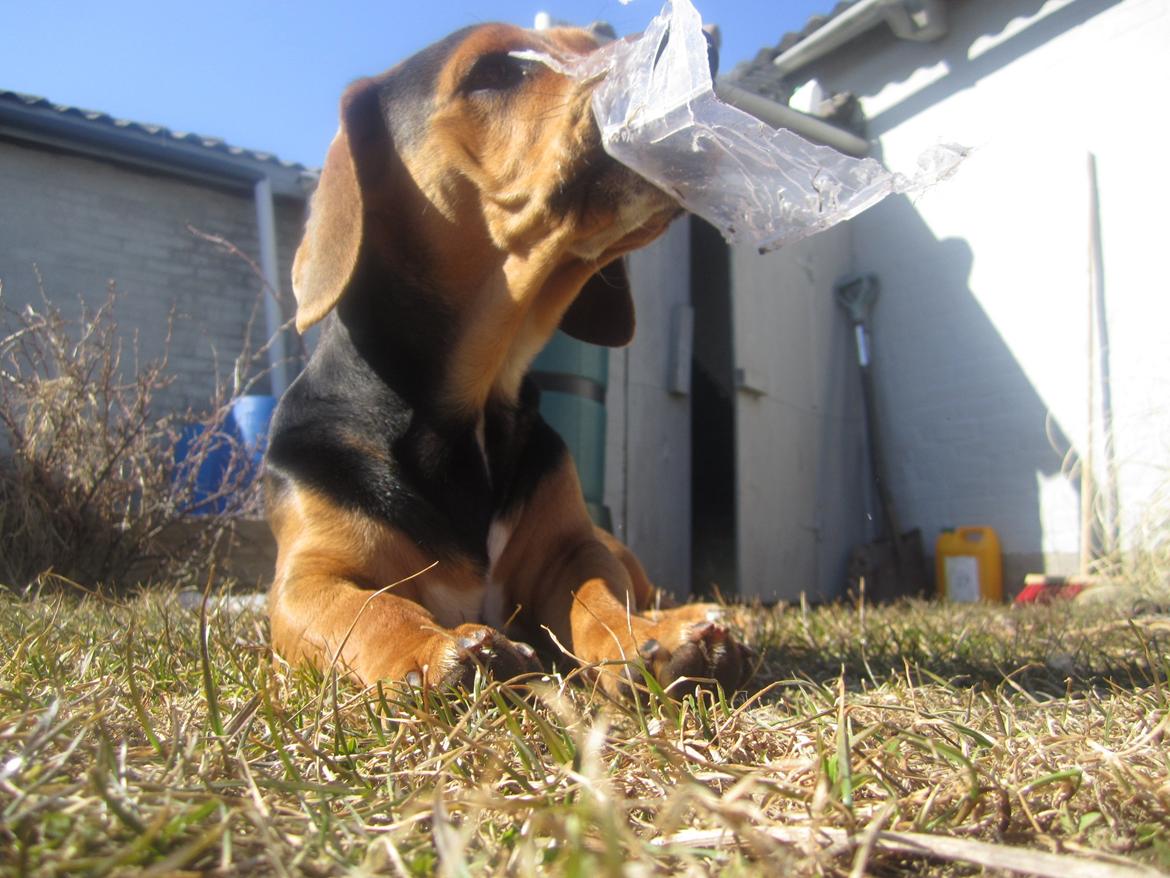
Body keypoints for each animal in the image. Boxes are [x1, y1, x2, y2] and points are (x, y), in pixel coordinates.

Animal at [264, 18, 753, 702]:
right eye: (492, 70)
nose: (703, 39)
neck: (470, 412)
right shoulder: (307, 575)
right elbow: (367, 609)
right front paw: (430, 650)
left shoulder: (571, 549)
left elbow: (597, 596)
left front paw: (637, 639)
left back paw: (693, 618)